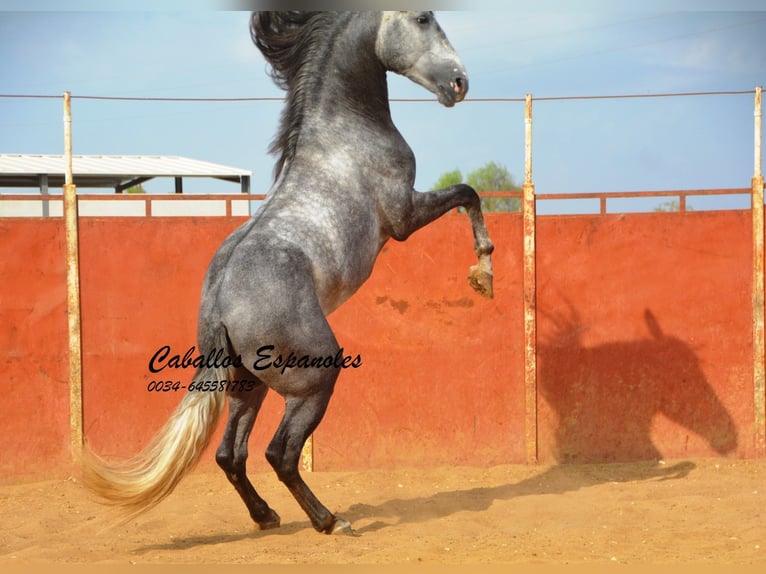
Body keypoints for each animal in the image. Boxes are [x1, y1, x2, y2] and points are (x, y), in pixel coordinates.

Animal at [83, 11, 494, 536]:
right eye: (423, 17)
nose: (459, 83)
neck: (343, 133)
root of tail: (219, 305)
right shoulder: (403, 216)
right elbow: (468, 193)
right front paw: (483, 274)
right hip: (315, 379)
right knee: (279, 454)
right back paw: (330, 520)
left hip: (247, 385)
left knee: (229, 454)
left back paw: (267, 517)